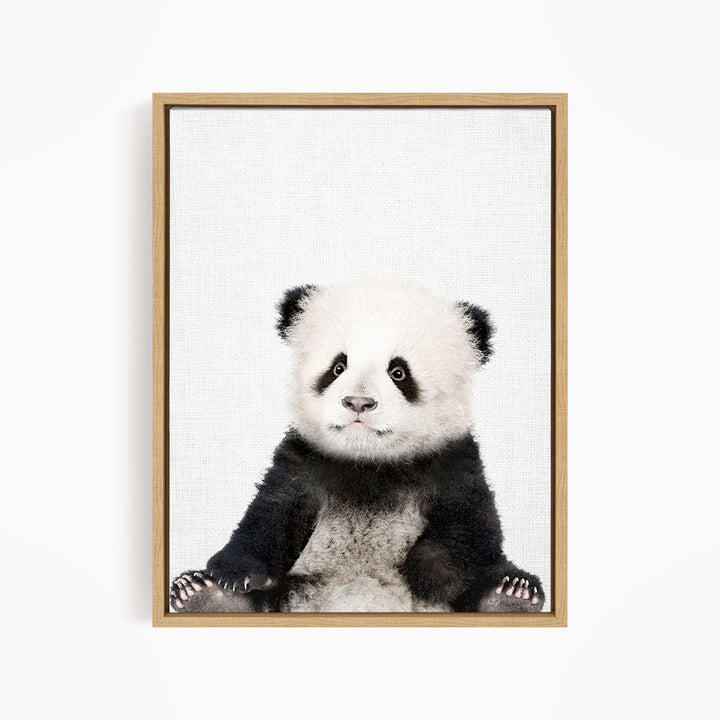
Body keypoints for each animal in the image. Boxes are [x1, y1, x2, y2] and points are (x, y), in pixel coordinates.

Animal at [170, 279, 545, 613]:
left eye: (398, 372)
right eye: (338, 367)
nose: (358, 403)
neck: (368, 463)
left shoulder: (451, 462)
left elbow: (472, 527)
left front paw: (432, 573)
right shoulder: (303, 462)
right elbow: (270, 515)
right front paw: (233, 574)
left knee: (493, 579)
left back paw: (510, 595)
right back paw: (205, 595)